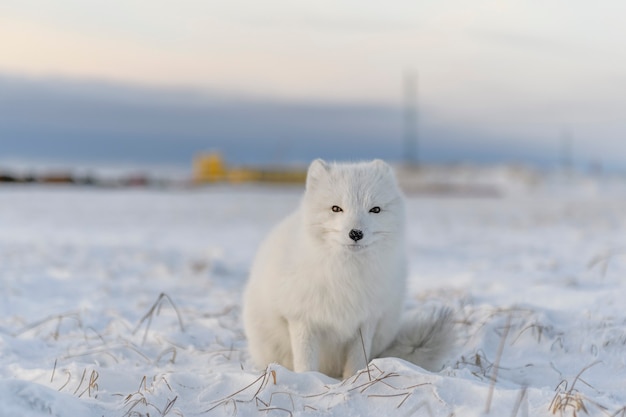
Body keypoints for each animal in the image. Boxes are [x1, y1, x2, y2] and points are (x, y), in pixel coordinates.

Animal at [241, 158, 450, 376]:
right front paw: (307, 379)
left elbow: (357, 362)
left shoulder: (365, 321)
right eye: (336, 208)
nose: (356, 233)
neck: (345, 274)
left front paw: (355, 380)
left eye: (375, 209)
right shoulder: (302, 320)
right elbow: (306, 363)